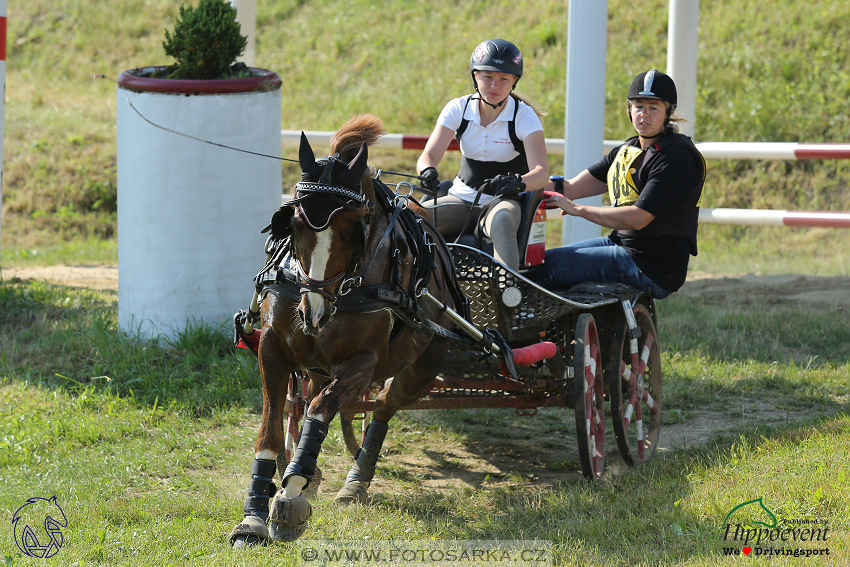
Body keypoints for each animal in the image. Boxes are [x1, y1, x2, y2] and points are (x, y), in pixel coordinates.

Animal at [229, 114, 460, 544]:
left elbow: (321, 411)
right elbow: (271, 431)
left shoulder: (363, 364)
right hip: (319, 366)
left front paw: (293, 491)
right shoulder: (273, 348)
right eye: (294, 225)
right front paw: (253, 515)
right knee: (318, 402)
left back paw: (356, 479)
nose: (314, 311)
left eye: (354, 229)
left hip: (422, 366)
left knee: (382, 407)